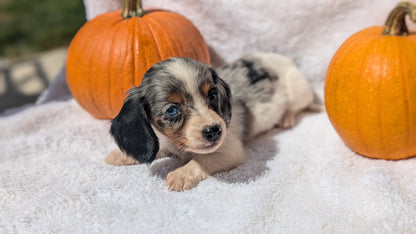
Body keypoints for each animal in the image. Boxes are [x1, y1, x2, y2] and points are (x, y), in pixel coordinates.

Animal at [105, 53, 316, 192]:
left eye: (213, 95)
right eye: (172, 110)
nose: (214, 130)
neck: (180, 147)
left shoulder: (229, 151)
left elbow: (201, 161)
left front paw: (181, 174)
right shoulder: (166, 142)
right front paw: (121, 155)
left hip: (298, 89)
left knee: (297, 107)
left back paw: (287, 117)